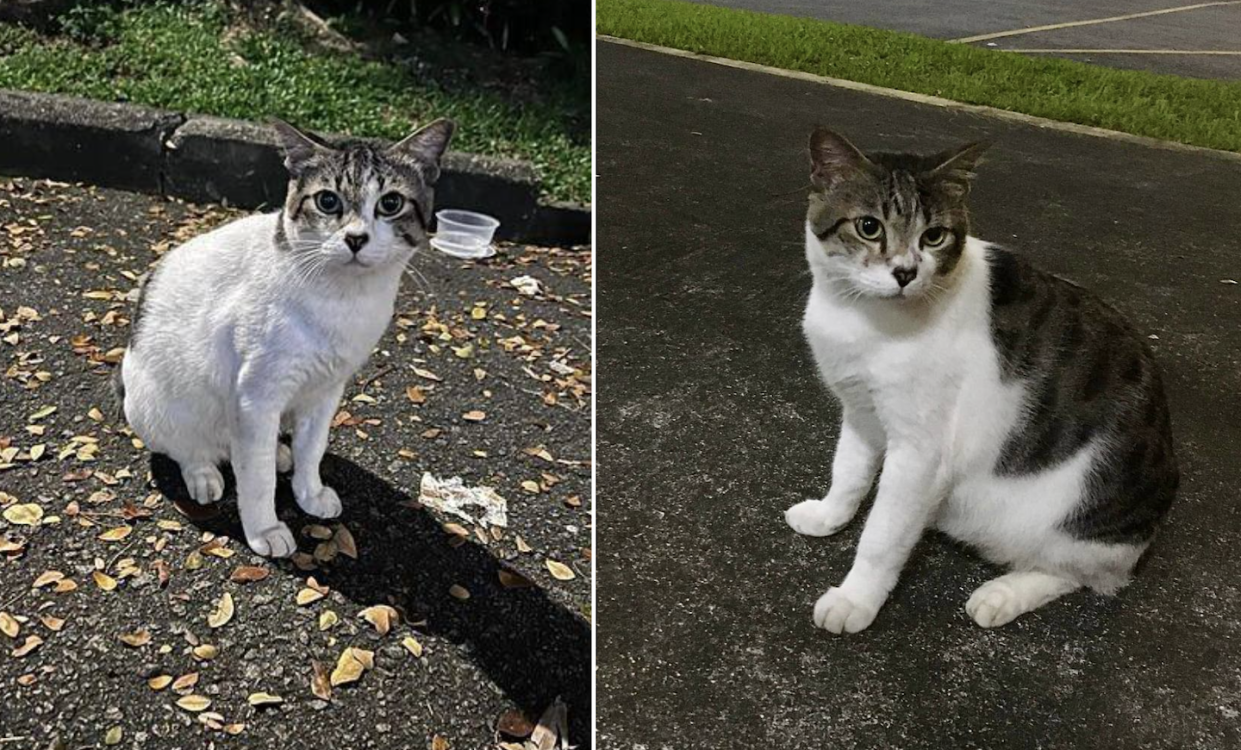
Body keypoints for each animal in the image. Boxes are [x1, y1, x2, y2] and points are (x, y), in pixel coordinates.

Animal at [115, 118, 456, 556]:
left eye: (391, 203)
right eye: (327, 201)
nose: (356, 238)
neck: (341, 300)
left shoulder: (326, 390)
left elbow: (312, 450)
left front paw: (308, 494)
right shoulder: (255, 397)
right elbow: (257, 480)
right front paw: (264, 530)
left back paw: (277, 452)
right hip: (153, 405)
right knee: (189, 448)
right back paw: (204, 473)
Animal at [789, 129, 1176, 633]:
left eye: (933, 236)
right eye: (869, 227)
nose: (906, 272)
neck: (861, 317)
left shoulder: (921, 452)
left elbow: (881, 535)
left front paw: (855, 599)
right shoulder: (860, 412)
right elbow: (848, 473)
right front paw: (829, 515)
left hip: (1076, 521)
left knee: (1081, 574)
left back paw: (1001, 595)